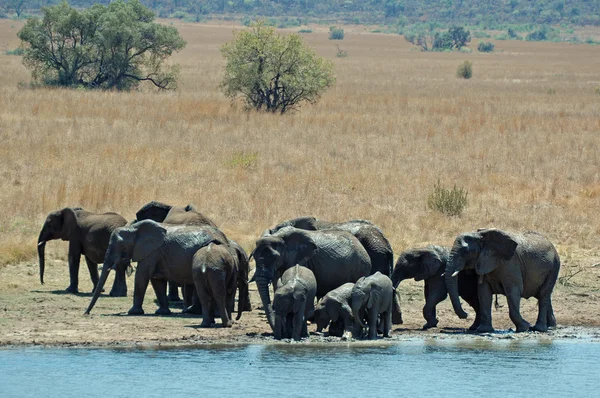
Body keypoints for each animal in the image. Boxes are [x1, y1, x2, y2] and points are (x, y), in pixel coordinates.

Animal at [84, 219, 232, 316]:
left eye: (121, 246)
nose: (86, 313)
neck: (134, 229)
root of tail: (225, 238)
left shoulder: (151, 252)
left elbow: (142, 276)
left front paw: (133, 312)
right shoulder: (156, 254)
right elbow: (156, 280)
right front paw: (162, 312)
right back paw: (192, 312)